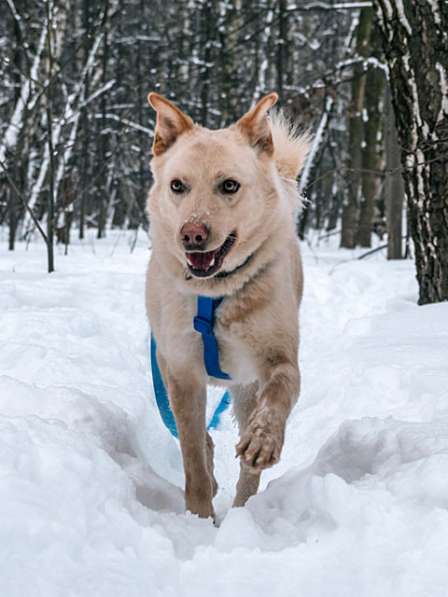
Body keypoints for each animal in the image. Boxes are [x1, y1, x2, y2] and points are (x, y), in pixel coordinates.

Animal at [145, 93, 310, 516]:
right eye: (178, 185)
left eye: (229, 185)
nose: (191, 234)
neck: (217, 295)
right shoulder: (181, 371)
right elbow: (192, 456)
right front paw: (199, 517)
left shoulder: (279, 361)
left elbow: (279, 392)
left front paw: (263, 440)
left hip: (245, 389)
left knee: (247, 469)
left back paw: (243, 507)